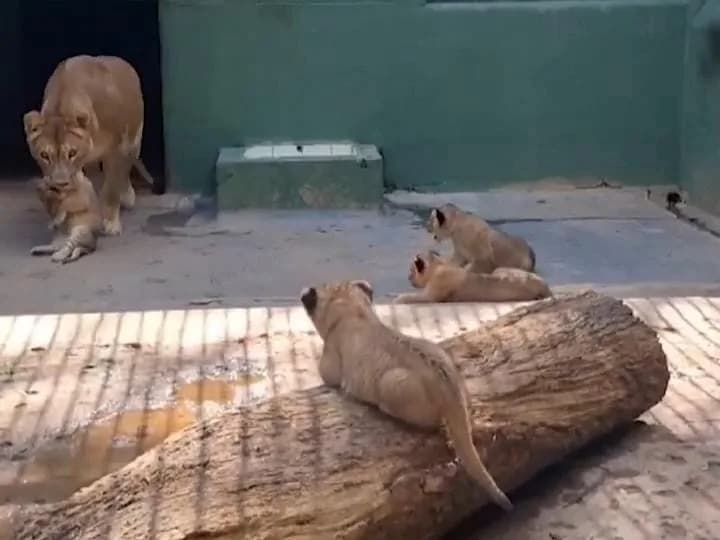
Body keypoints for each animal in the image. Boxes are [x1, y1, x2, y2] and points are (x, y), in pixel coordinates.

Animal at [23, 54, 154, 236]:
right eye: (44, 155)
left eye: (72, 153)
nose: (60, 184)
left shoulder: (118, 150)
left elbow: (112, 188)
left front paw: (111, 223)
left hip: (134, 141)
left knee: (123, 171)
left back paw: (127, 196)